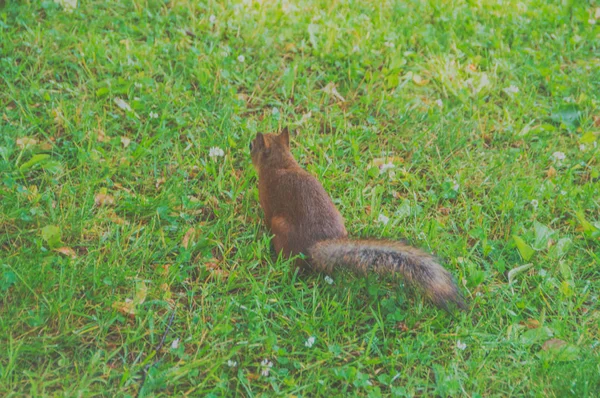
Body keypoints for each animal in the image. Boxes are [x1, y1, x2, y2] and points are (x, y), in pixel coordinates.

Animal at [248, 128, 464, 310]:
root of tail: (315, 247)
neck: (280, 163)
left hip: (281, 228)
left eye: (252, 145)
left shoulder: (267, 201)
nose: (248, 145)